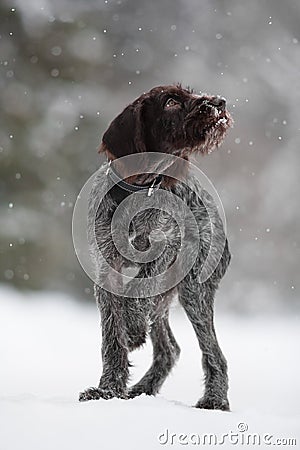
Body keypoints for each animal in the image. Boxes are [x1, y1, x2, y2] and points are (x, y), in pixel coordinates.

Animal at [79, 84, 232, 412]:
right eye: (171, 101)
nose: (219, 102)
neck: (139, 187)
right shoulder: (105, 269)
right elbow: (112, 335)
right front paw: (108, 390)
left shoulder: (170, 249)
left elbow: (139, 291)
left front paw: (133, 327)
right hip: (170, 299)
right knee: (169, 348)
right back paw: (142, 389)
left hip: (193, 291)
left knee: (213, 352)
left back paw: (215, 400)